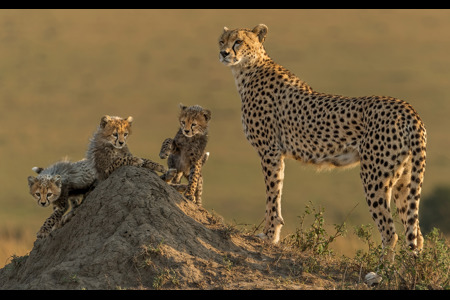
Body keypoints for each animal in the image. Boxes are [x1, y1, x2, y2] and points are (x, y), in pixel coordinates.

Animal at [220, 24, 428, 262]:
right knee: (416, 234)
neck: (248, 69)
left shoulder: (270, 151)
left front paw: (270, 235)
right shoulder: (275, 153)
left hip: (374, 177)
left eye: (238, 41)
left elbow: (272, 195)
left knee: (390, 232)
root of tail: (408, 108)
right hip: (405, 179)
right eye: (222, 40)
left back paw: (381, 269)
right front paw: (272, 233)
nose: (223, 53)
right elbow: (276, 192)